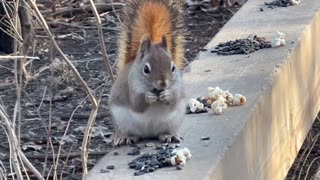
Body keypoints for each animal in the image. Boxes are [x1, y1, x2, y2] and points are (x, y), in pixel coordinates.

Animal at [109, 0, 186, 146]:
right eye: (146, 69)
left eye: (173, 67)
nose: (163, 83)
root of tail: (148, 134)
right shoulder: (131, 87)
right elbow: (137, 104)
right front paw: (148, 97)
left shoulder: (178, 87)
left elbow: (174, 100)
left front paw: (167, 95)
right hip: (121, 122)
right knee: (128, 132)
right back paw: (127, 137)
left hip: (174, 121)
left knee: (163, 132)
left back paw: (168, 135)